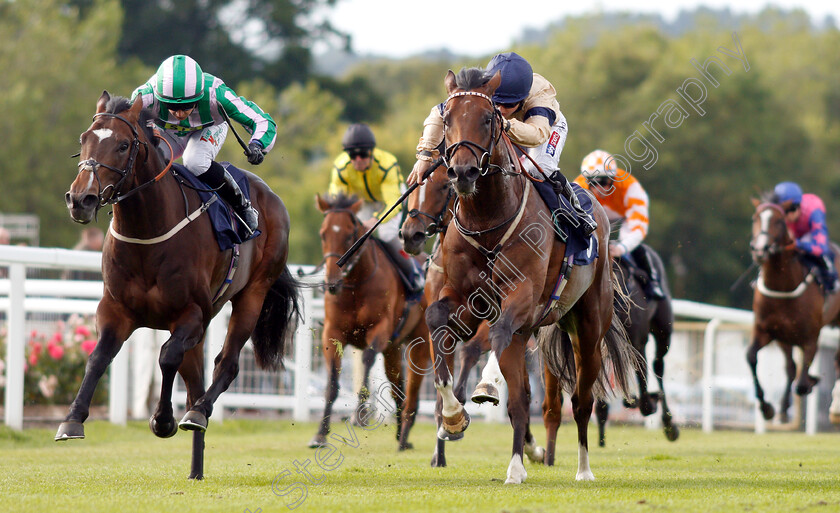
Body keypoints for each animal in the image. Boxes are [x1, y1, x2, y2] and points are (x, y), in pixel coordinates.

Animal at [60, 91, 302, 476]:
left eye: (123, 145)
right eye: (84, 140)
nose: (81, 199)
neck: (147, 234)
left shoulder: (191, 313)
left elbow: (167, 356)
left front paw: (163, 420)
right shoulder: (115, 309)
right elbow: (98, 357)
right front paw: (72, 419)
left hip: (252, 294)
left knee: (227, 363)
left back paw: (198, 413)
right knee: (195, 378)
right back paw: (195, 461)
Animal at [426, 69, 636, 484]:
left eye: (487, 119)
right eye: (447, 118)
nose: (462, 172)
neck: (488, 221)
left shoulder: (520, 299)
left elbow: (503, 347)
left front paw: (513, 463)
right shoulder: (463, 299)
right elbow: (437, 320)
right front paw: (453, 418)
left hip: (589, 326)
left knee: (582, 400)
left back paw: (583, 469)